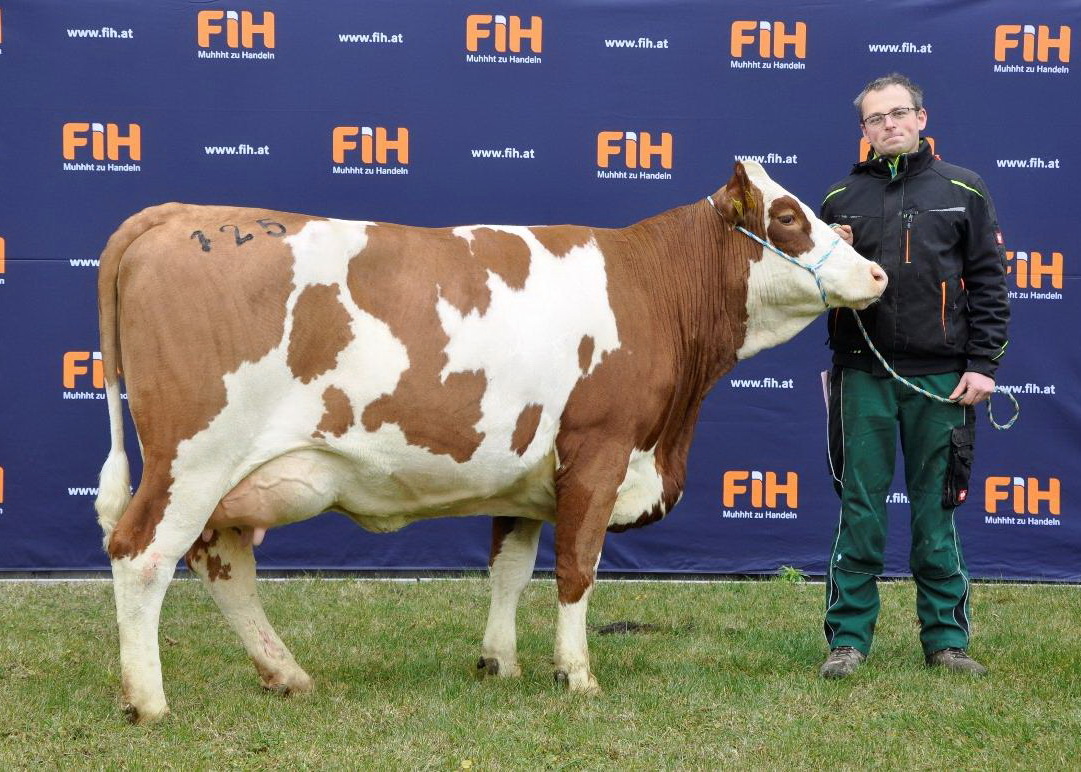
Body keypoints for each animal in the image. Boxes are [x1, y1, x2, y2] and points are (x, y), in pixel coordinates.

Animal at [95, 161, 886, 722]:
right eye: (787, 216)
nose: (876, 271)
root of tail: (181, 214)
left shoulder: (526, 476)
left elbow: (510, 568)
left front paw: (499, 663)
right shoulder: (599, 450)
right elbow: (576, 569)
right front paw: (577, 674)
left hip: (227, 475)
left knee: (222, 563)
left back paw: (285, 674)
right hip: (194, 457)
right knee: (142, 554)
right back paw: (148, 700)